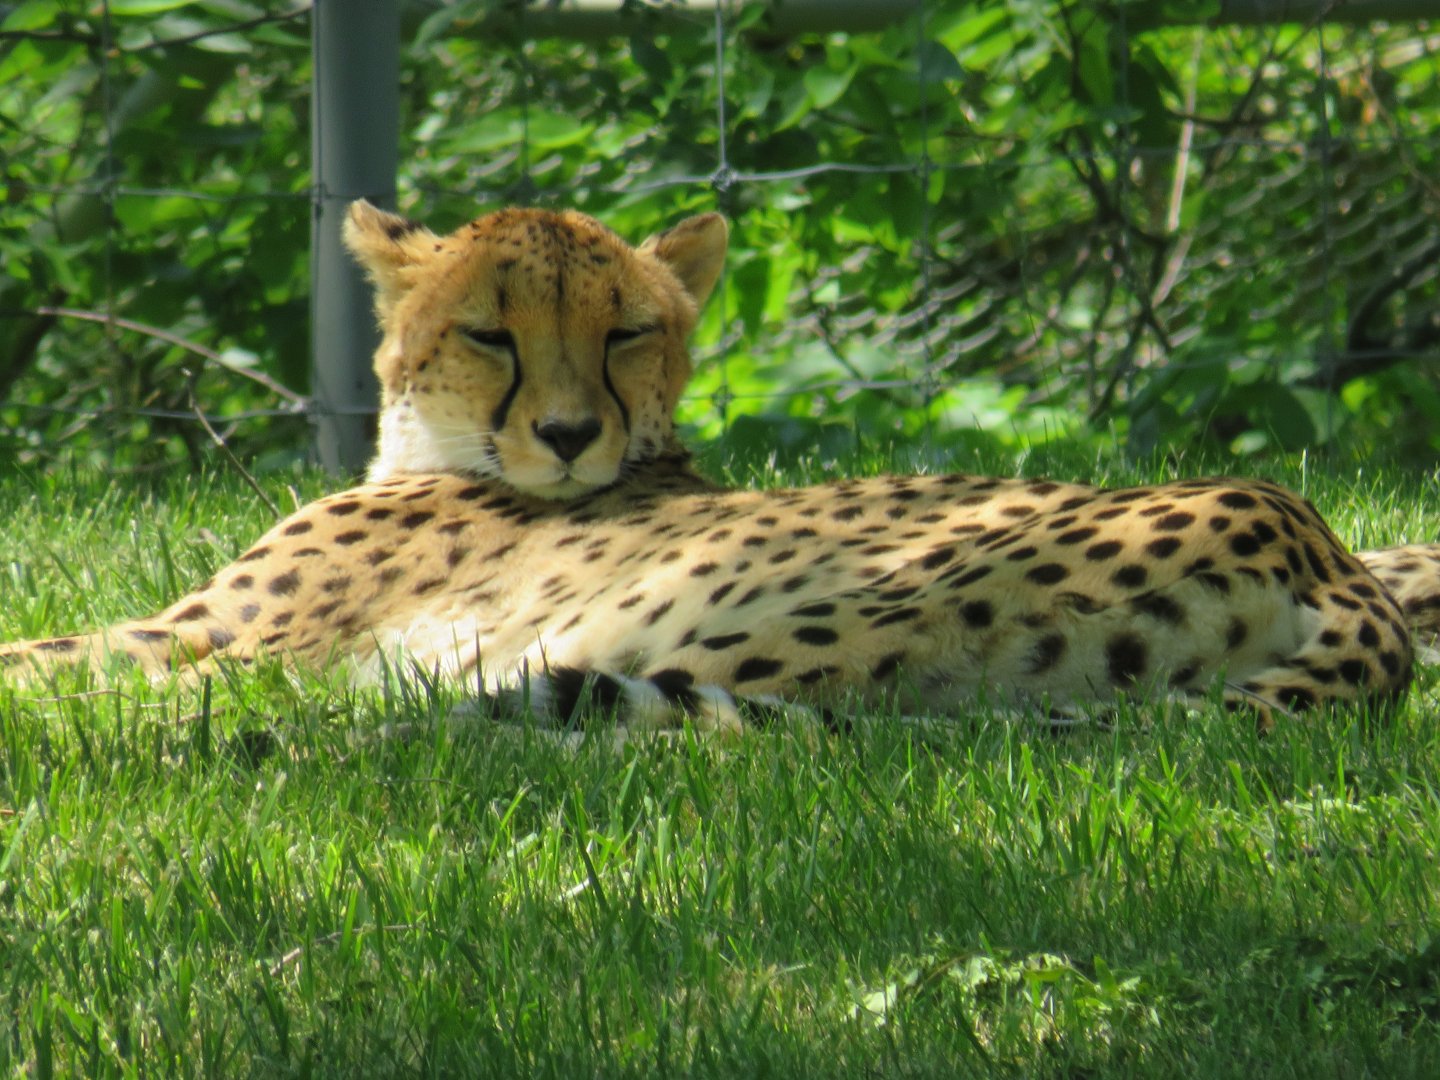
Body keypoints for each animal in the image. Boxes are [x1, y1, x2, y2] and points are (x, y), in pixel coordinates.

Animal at [3, 198, 1439, 734]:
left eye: (626, 332)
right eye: (491, 331)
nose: (570, 437)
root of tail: (1305, 529)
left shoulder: (207, 638)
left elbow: (38, 653)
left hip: (801, 619)